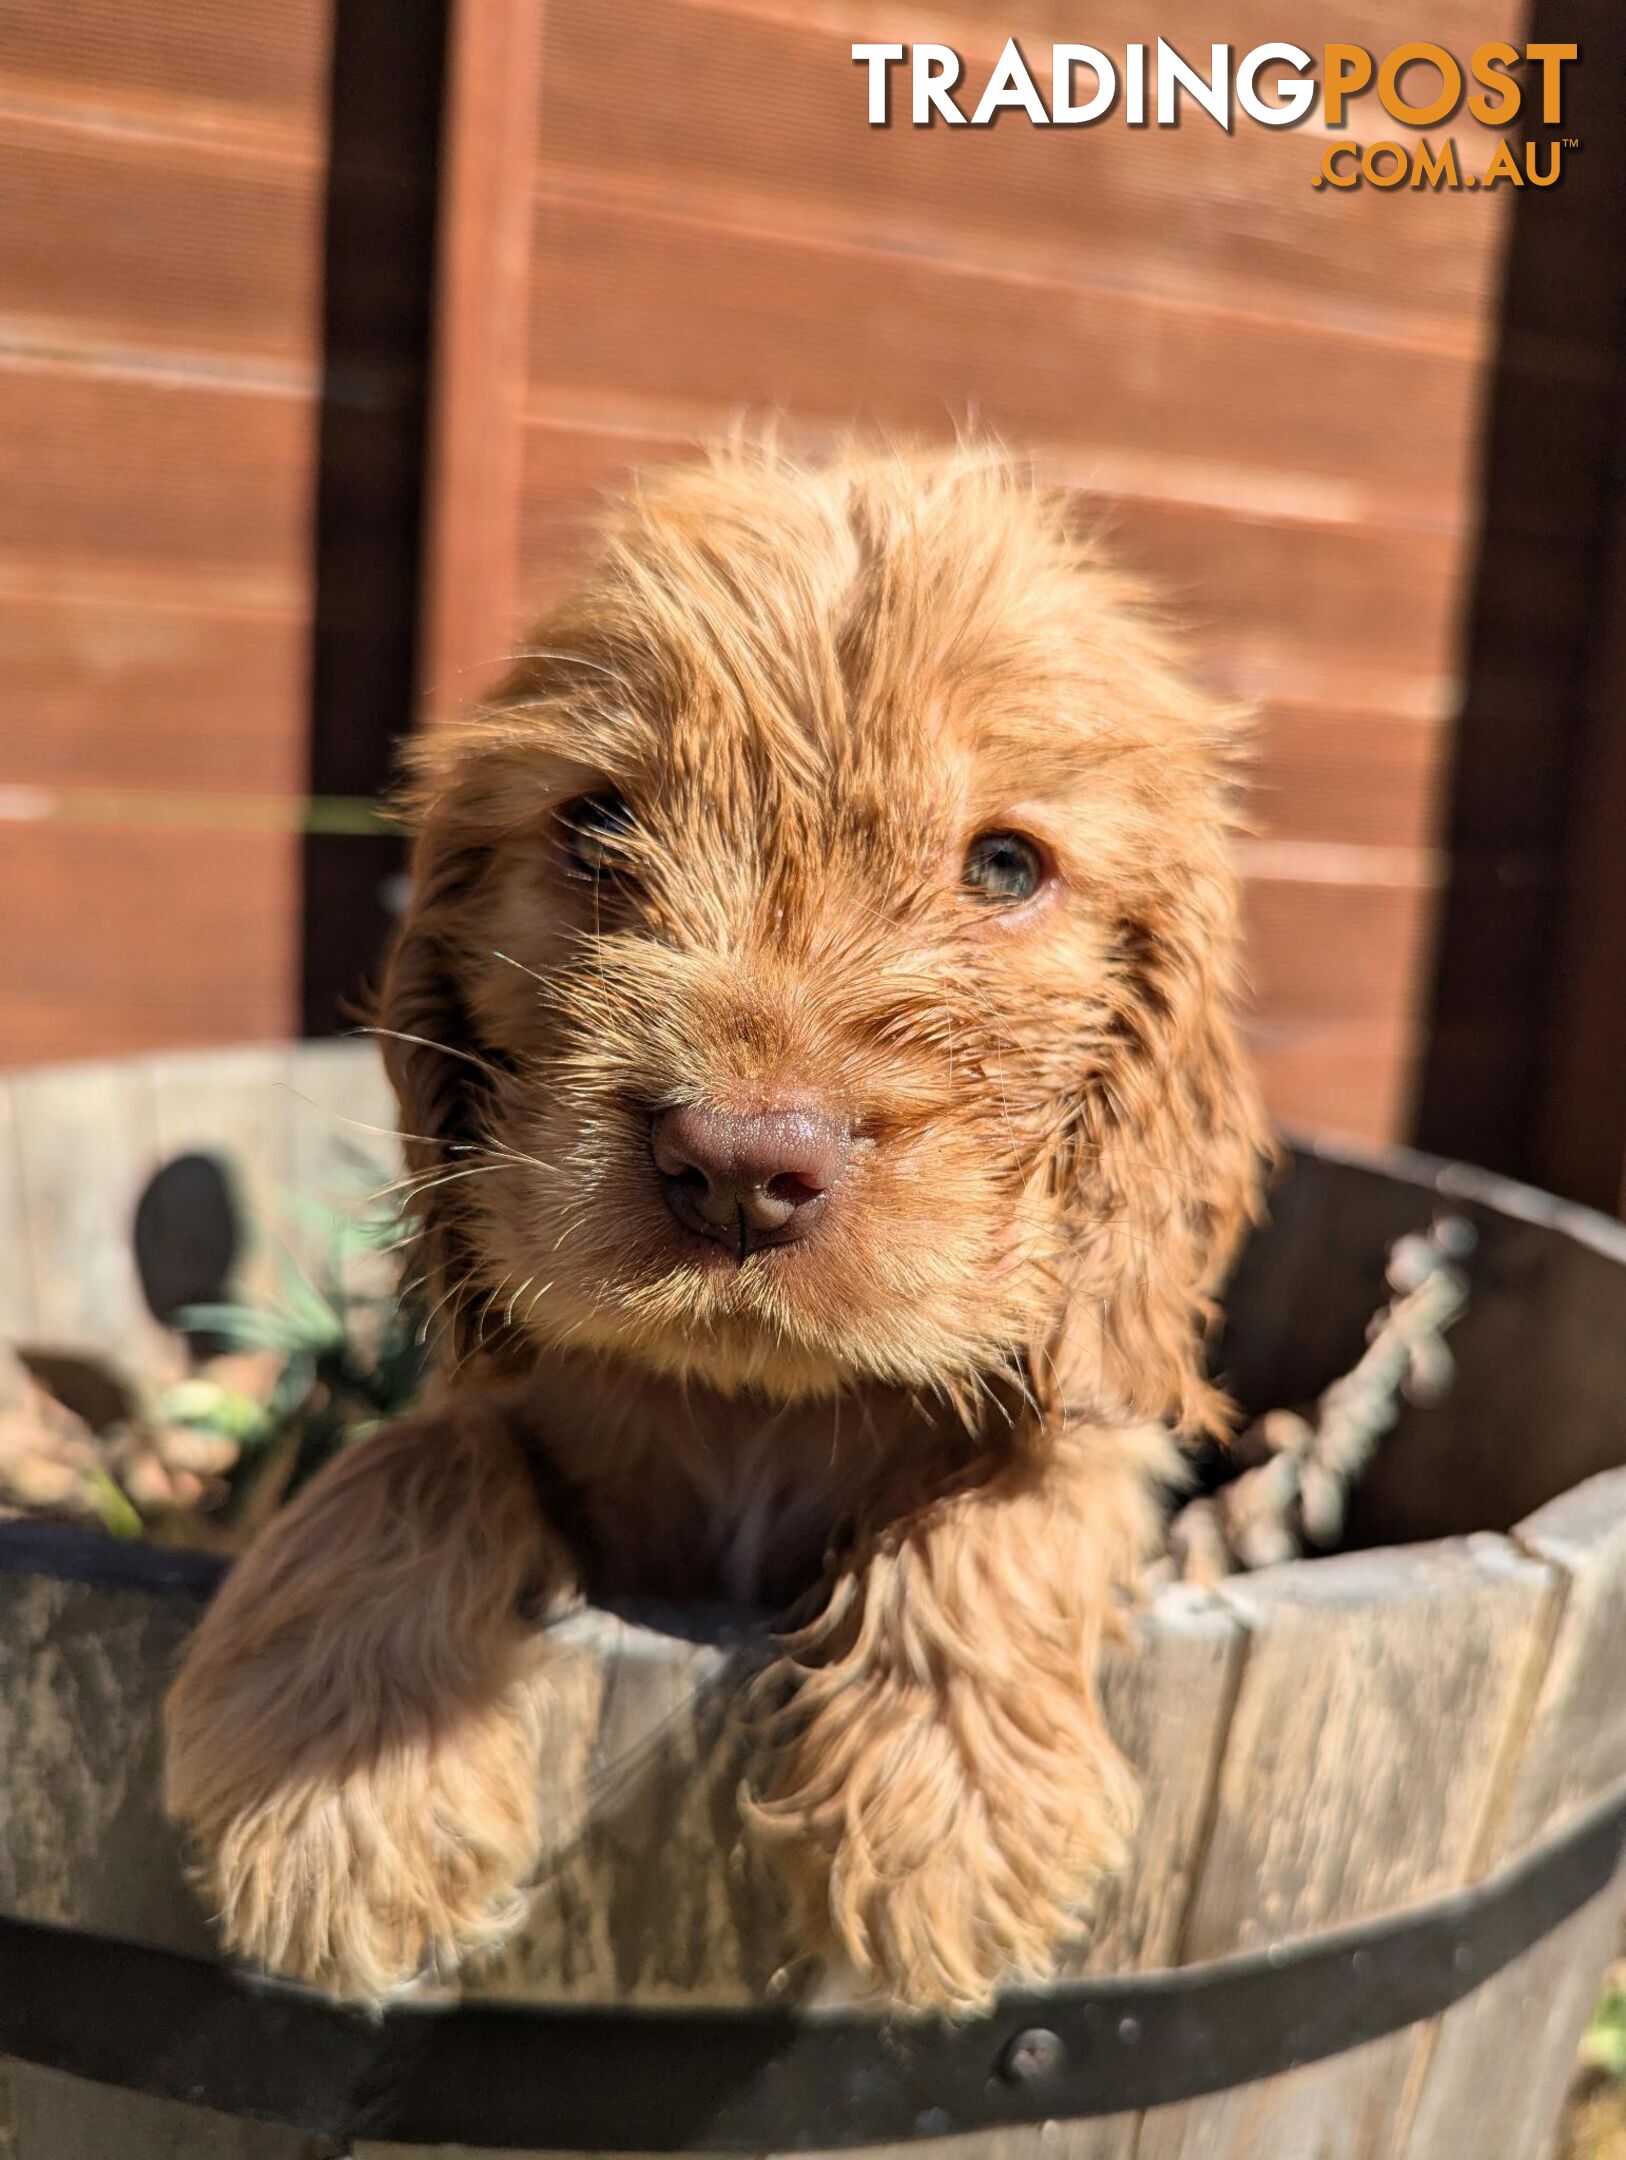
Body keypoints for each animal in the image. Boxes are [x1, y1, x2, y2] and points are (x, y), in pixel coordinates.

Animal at [165, 447, 1261, 2013]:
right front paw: (332, 1777)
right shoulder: (526, 1405)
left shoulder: (1098, 1417)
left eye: (1004, 866)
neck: (759, 1402)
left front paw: (947, 1811)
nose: (739, 1168)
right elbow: (428, 1451)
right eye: (596, 827)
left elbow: (1021, 1495)